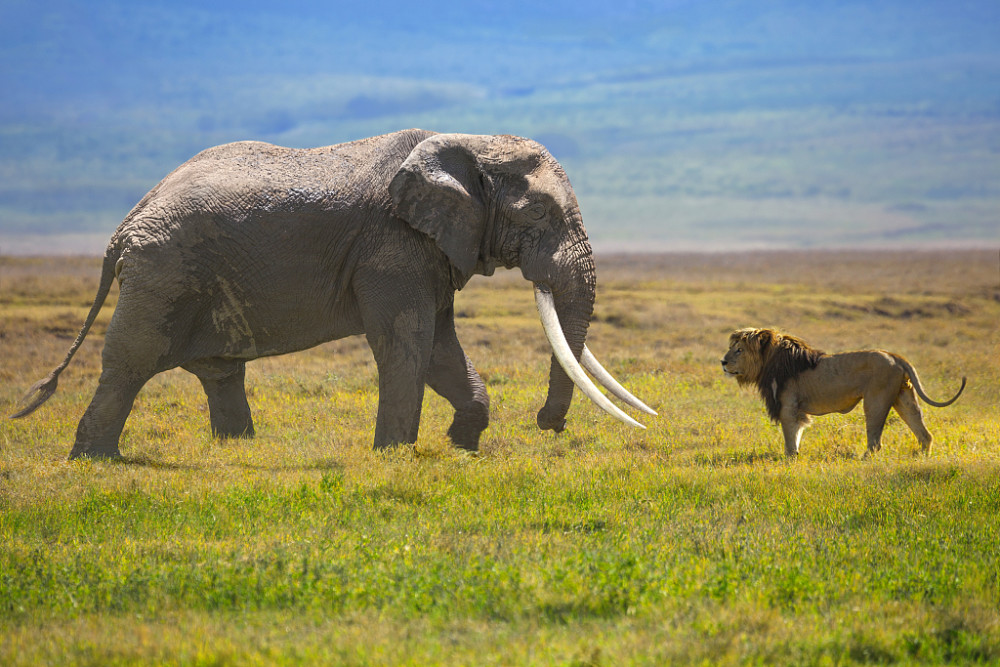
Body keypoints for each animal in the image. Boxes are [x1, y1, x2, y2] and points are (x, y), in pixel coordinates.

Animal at [15, 130, 660, 462]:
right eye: (541, 213)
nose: (546, 424)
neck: (465, 141)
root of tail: (126, 223)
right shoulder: (393, 245)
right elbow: (408, 342)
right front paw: (395, 456)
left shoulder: (429, 249)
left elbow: (441, 347)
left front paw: (463, 445)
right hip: (163, 272)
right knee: (131, 361)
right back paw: (93, 459)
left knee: (220, 370)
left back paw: (240, 452)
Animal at [724, 328, 964, 460]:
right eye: (731, 348)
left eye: (739, 350)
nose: (722, 362)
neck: (768, 362)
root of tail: (895, 356)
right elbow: (796, 435)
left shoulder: (788, 407)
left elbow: (790, 438)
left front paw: (790, 459)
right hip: (904, 397)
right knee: (924, 433)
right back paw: (922, 456)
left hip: (876, 400)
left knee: (875, 442)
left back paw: (863, 458)